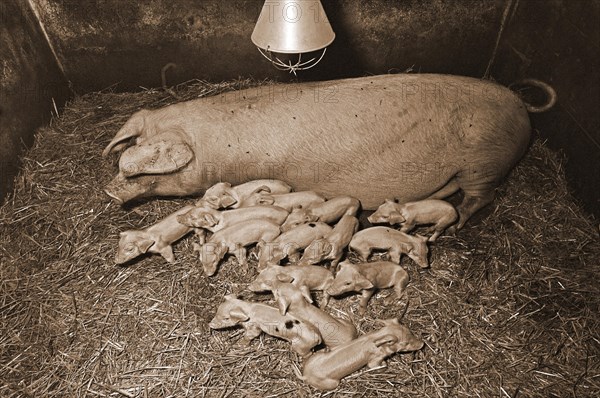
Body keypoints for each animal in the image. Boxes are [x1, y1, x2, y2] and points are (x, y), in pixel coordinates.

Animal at [101, 74, 556, 229]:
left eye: (143, 171)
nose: (108, 190)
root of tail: (520, 103)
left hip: (484, 164)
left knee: (481, 198)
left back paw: (458, 225)